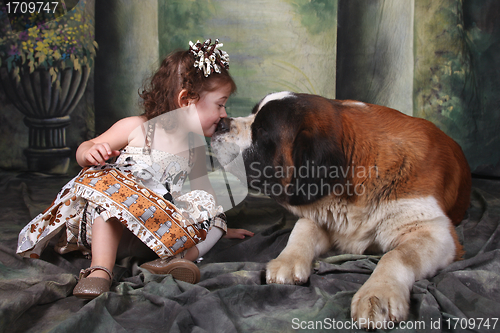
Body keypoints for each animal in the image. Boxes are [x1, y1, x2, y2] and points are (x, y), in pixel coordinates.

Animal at [210, 91, 468, 326]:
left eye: (262, 130)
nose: (220, 123)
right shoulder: (322, 214)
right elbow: (302, 228)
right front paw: (287, 260)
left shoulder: (434, 231)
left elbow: (397, 255)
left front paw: (379, 294)